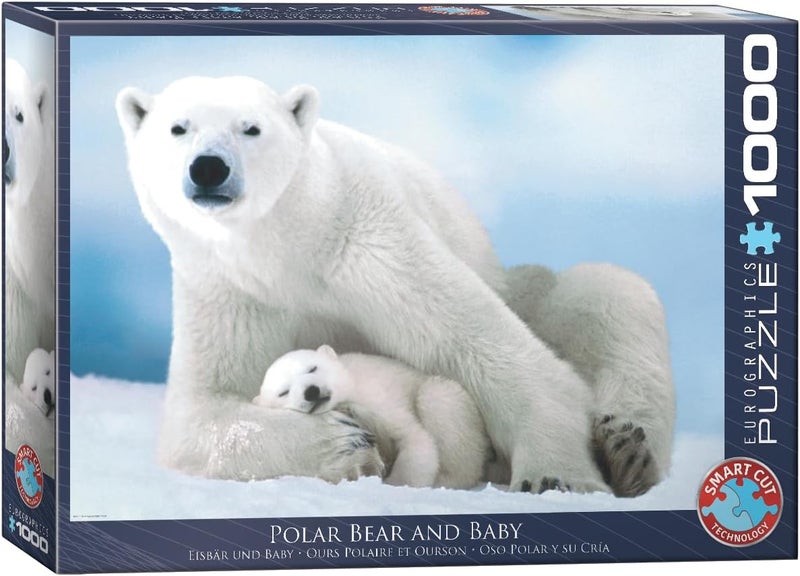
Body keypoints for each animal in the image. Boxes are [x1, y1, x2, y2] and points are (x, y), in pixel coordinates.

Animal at [254, 345, 492, 490]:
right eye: (283, 392)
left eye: (312, 367)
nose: (311, 391)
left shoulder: (378, 399)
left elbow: (414, 438)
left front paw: (398, 483)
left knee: (437, 396)